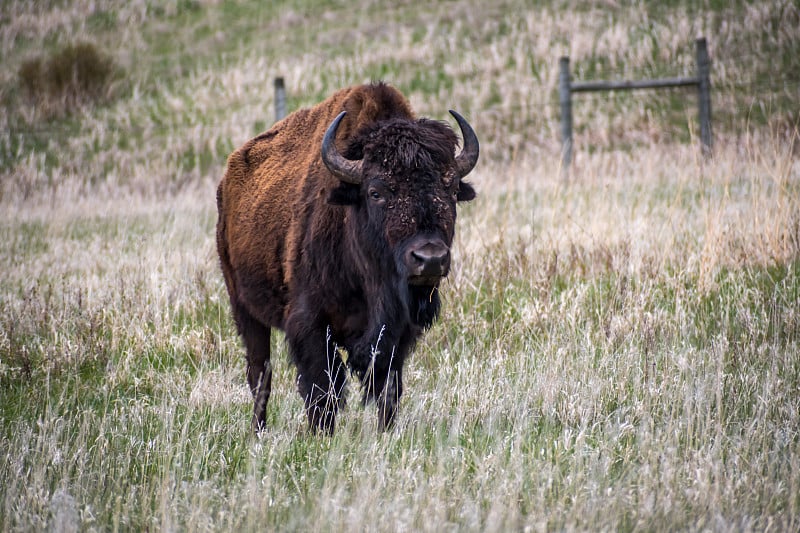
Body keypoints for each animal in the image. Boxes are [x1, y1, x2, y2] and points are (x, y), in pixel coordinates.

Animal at [216, 82, 478, 432]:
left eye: (450, 189)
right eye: (376, 192)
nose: (430, 258)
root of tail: (228, 179)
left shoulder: (395, 335)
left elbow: (387, 390)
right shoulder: (310, 325)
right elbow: (322, 391)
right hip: (244, 308)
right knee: (260, 376)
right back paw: (258, 432)